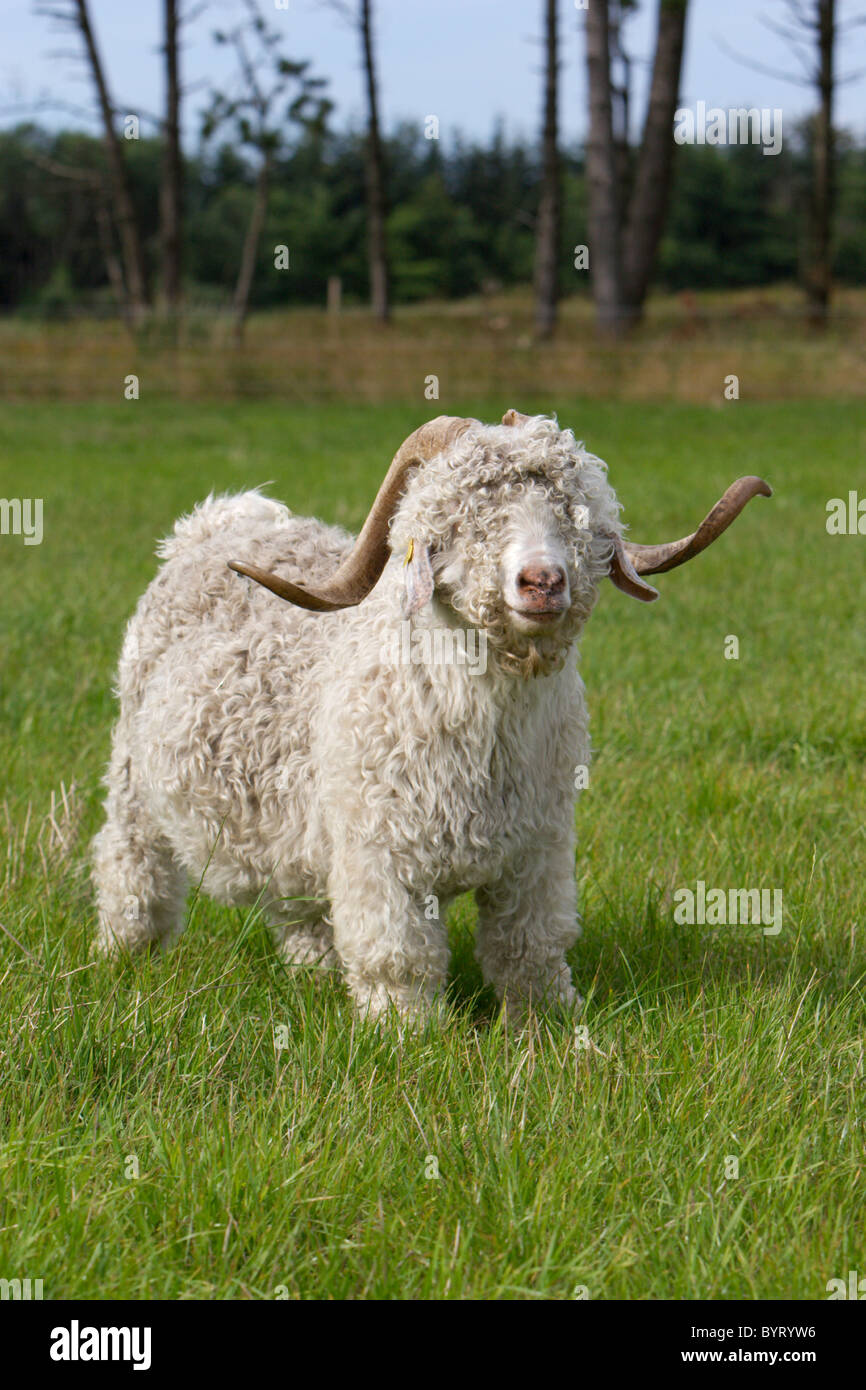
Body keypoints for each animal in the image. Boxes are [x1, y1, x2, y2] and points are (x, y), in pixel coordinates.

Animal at [94, 408, 772, 1023]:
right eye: (465, 519)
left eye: (577, 514)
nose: (542, 582)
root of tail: (216, 524)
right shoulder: (379, 853)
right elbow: (399, 960)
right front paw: (407, 1036)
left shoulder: (539, 849)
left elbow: (529, 949)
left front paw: (551, 1024)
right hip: (132, 775)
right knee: (131, 862)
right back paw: (126, 955)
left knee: (296, 899)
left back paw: (312, 972)